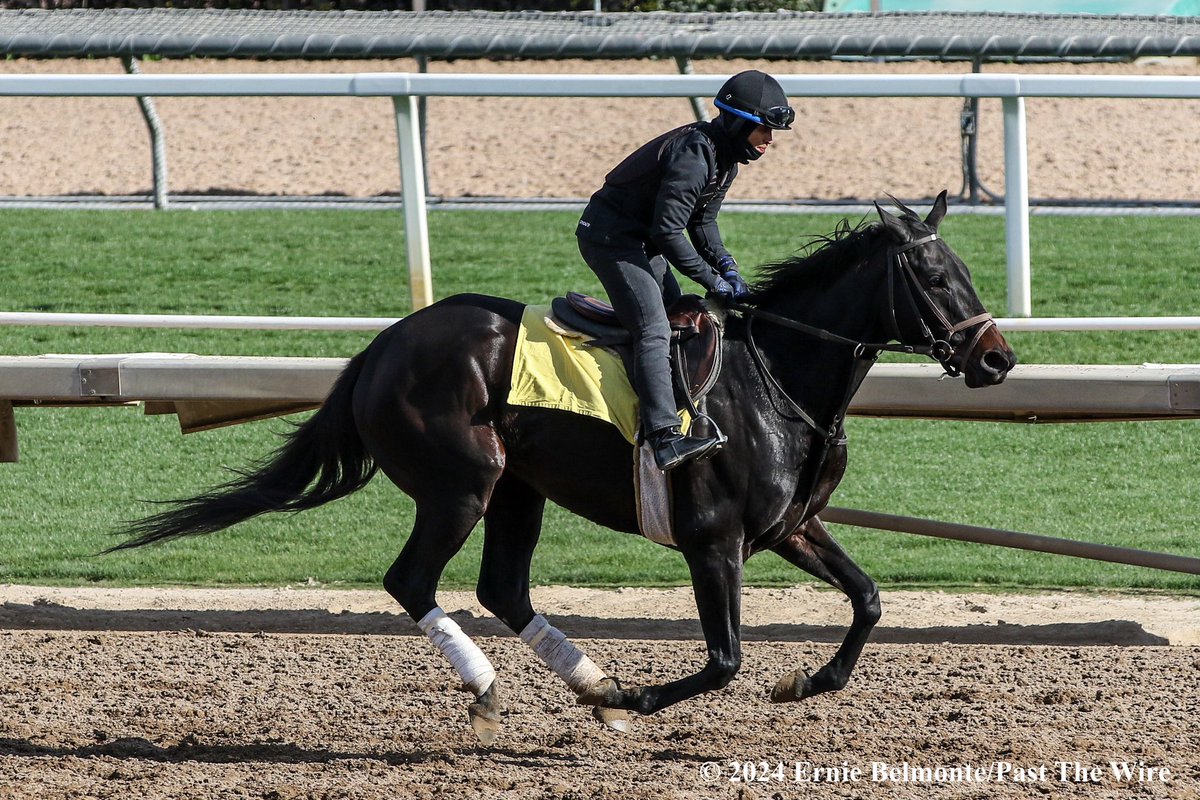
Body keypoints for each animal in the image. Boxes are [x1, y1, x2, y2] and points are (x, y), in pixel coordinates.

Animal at [112, 194, 1012, 743]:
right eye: (936, 276)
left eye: (967, 272)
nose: (997, 359)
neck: (778, 378)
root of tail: (382, 346)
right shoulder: (713, 542)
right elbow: (725, 660)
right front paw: (641, 698)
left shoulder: (793, 526)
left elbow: (868, 598)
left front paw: (807, 681)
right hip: (463, 484)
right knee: (413, 580)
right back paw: (500, 689)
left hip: (519, 490)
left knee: (502, 589)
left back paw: (592, 684)